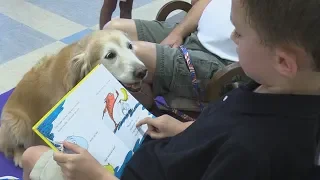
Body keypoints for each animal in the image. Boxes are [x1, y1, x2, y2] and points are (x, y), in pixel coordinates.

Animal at [0, 29, 148, 167]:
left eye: (130, 46)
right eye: (110, 55)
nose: (142, 71)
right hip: (17, 123)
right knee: (12, 146)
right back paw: (19, 155)